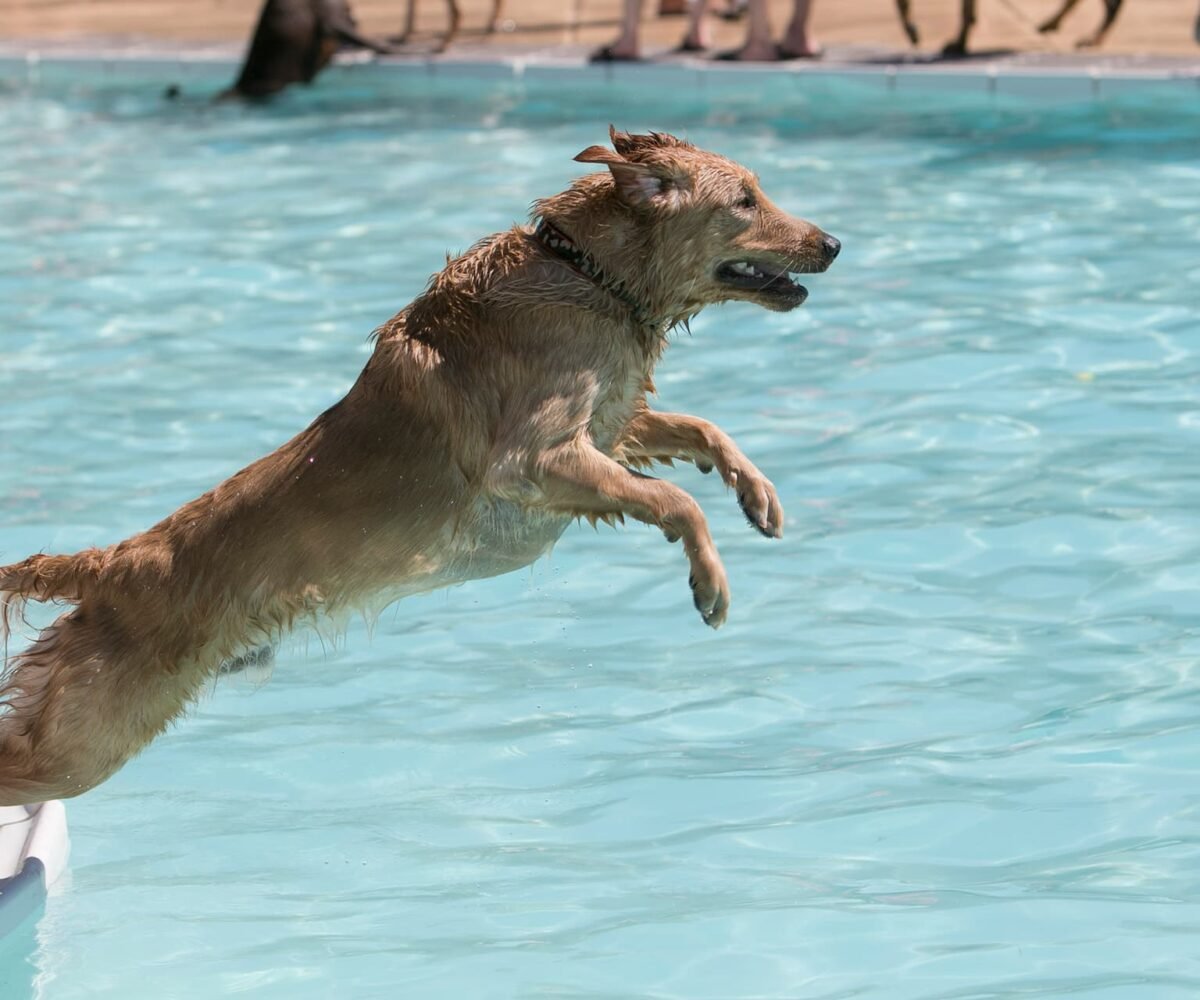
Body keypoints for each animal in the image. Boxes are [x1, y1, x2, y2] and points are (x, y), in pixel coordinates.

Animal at [0, 128, 840, 806]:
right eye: (745, 200)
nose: (833, 243)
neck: (588, 275)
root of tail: (108, 563)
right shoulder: (535, 458)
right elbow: (671, 500)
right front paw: (710, 582)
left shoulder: (605, 430)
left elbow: (699, 429)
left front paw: (757, 495)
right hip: (87, 738)